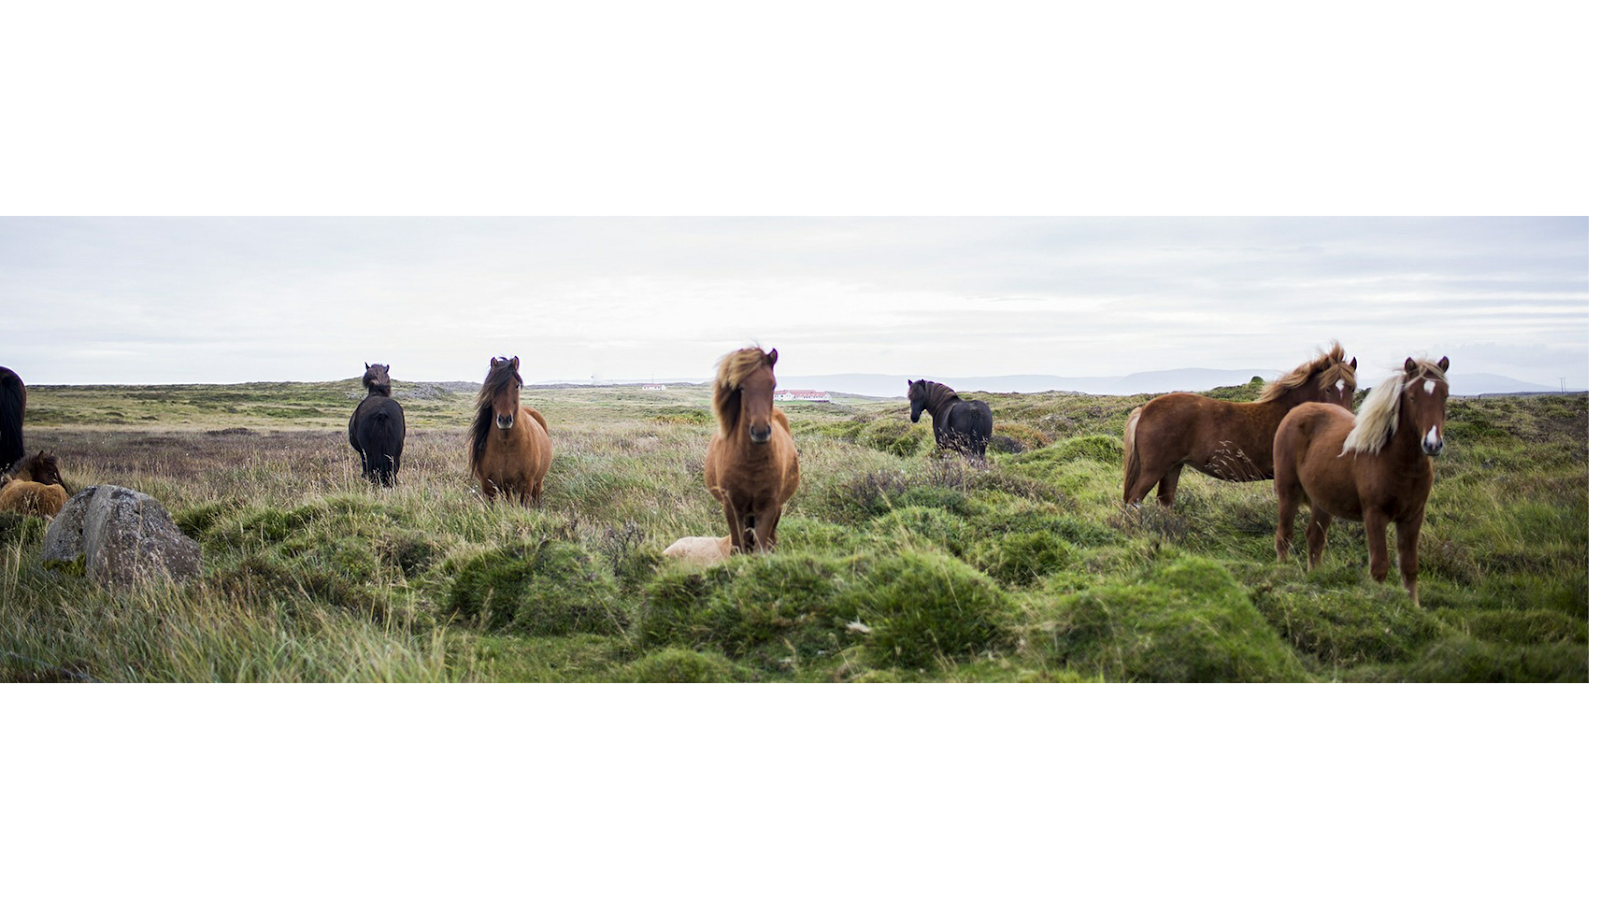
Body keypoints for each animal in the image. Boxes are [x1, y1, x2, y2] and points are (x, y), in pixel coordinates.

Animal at [468, 356, 553, 505]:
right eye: (492, 387)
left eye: (516, 385)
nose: (505, 419)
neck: (505, 444)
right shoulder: (488, 487)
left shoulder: (526, 484)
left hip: (536, 483)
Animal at [705, 347, 801, 553]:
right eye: (741, 387)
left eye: (773, 385)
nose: (760, 431)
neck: (751, 462)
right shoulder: (732, 508)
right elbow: (738, 547)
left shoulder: (769, 507)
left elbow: (760, 549)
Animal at [1122, 343, 1357, 506]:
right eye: (1327, 388)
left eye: (1352, 387)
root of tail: (1144, 410)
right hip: (1153, 469)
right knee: (1134, 500)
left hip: (1172, 467)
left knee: (1164, 502)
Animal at [1273, 357, 1450, 605]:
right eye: (1412, 396)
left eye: (1445, 395)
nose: (1432, 444)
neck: (1397, 460)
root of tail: (1297, 411)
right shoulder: (1375, 515)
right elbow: (1379, 566)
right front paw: (1378, 602)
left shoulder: (1413, 517)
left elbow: (1409, 566)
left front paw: (1413, 607)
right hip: (1288, 492)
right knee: (1284, 536)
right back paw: (1282, 572)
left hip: (1323, 502)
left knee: (1315, 539)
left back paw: (1314, 578)